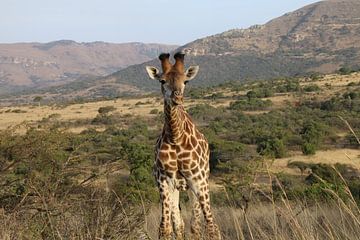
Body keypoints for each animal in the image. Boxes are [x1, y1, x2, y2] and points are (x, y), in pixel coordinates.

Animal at [146, 53, 219, 240]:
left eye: (186, 81)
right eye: (162, 80)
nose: (177, 98)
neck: (176, 137)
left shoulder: (198, 181)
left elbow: (211, 226)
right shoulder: (164, 182)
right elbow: (165, 228)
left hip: (197, 185)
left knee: (196, 224)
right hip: (176, 189)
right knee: (179, 224)